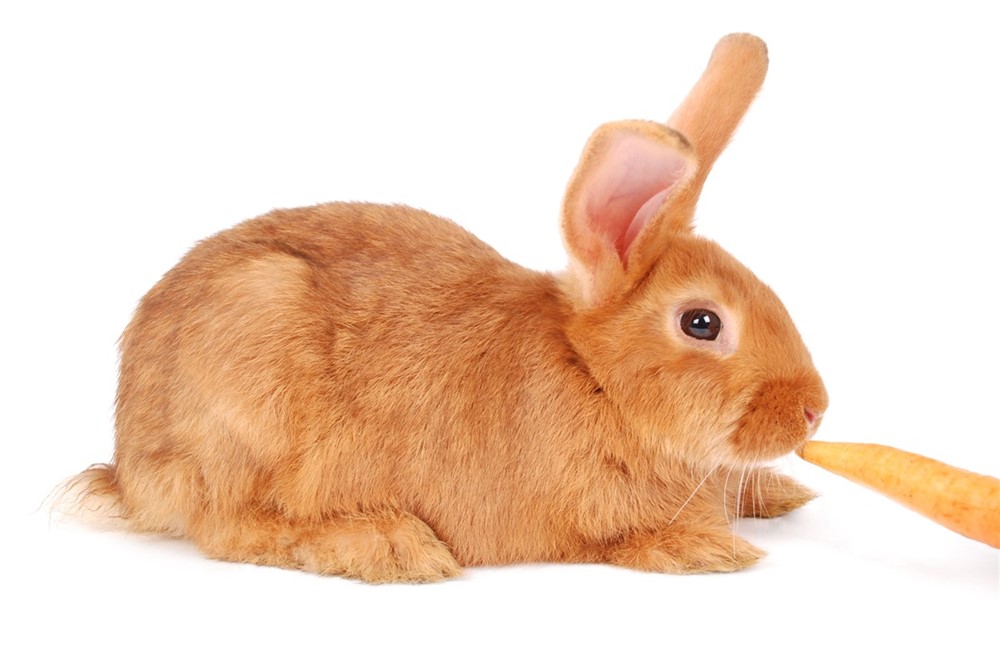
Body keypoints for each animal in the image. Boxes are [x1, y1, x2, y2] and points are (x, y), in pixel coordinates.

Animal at [68, 35, 828, 580]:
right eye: (702, 323)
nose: (815, 409)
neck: (595, 378)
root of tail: (130, 470)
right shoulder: (584, 518)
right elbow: (628, 538)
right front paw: (707, 547)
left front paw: (779, 493)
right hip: (248, 392)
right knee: (236, 526)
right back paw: (387, 544)